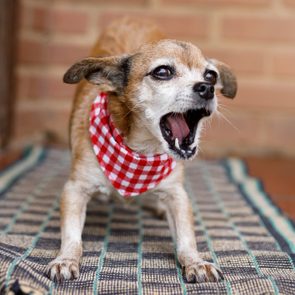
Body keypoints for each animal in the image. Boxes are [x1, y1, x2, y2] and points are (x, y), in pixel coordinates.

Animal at [46, 18, 238, 284]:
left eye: (210, 75)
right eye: (163, 72)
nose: (207, 88)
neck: (141, 151)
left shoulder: (177, 194)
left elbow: (186, 236)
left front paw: (196, 262)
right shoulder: (75, 189)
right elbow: (72, 235)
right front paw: (65, 259)